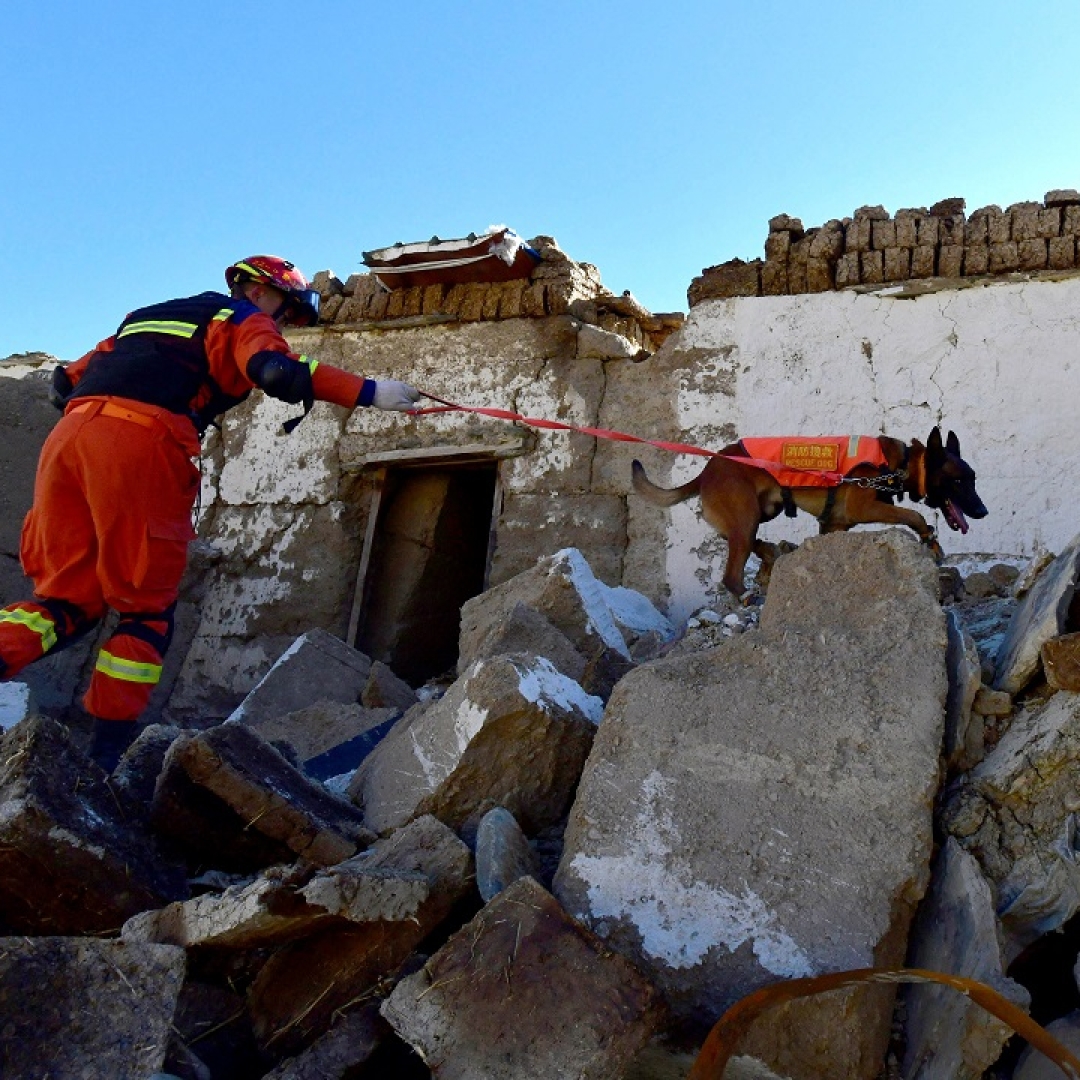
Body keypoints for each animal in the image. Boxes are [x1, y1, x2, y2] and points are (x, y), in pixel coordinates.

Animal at [630, 425, 989, 600]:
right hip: (746, 518)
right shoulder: (865, 506)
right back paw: (747, 595)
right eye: (958, 481)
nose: (983, 511)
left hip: (762, 511)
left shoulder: (833, 526)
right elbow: (913, 516)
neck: (899, 464)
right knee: (732, 572)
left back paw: (770, 555)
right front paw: (930, 538)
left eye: (973, 479)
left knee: (746, 541)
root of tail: (707, 469)